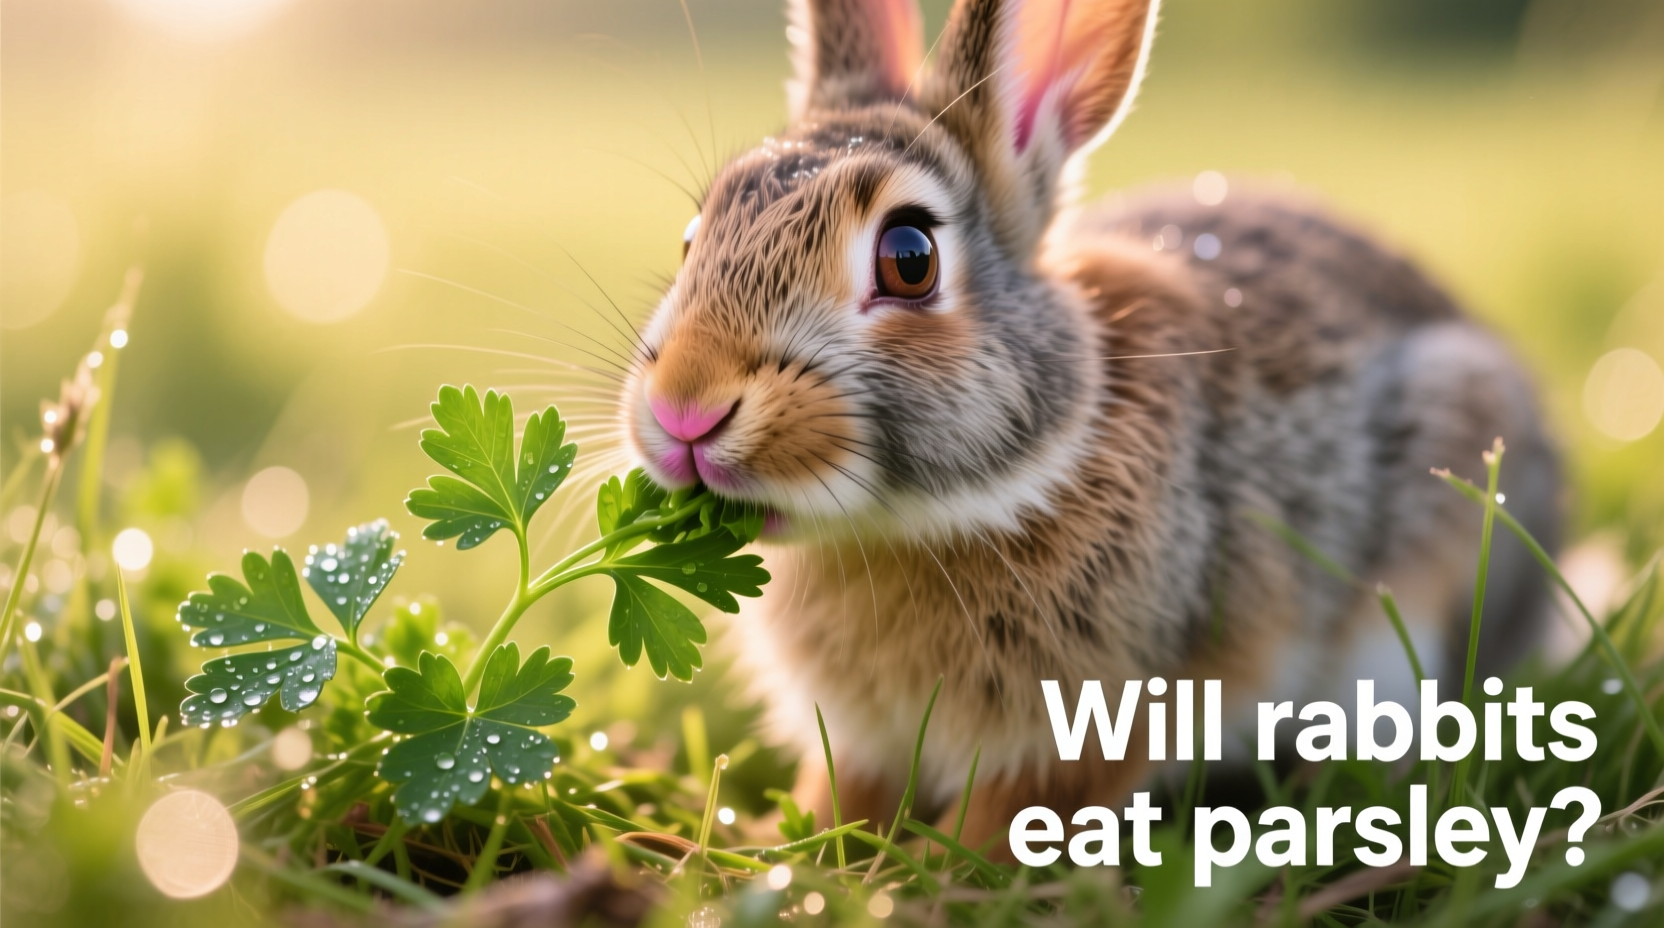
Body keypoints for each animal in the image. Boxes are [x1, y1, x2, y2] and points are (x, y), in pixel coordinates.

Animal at [618, 0, 1560, 851]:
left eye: (910, 258)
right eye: (692, 238)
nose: (685, 408)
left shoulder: (1110, 715)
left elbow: (1014, 815)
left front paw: (930, 876)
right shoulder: (860, 739)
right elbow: (844, 793)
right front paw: (785, 847)